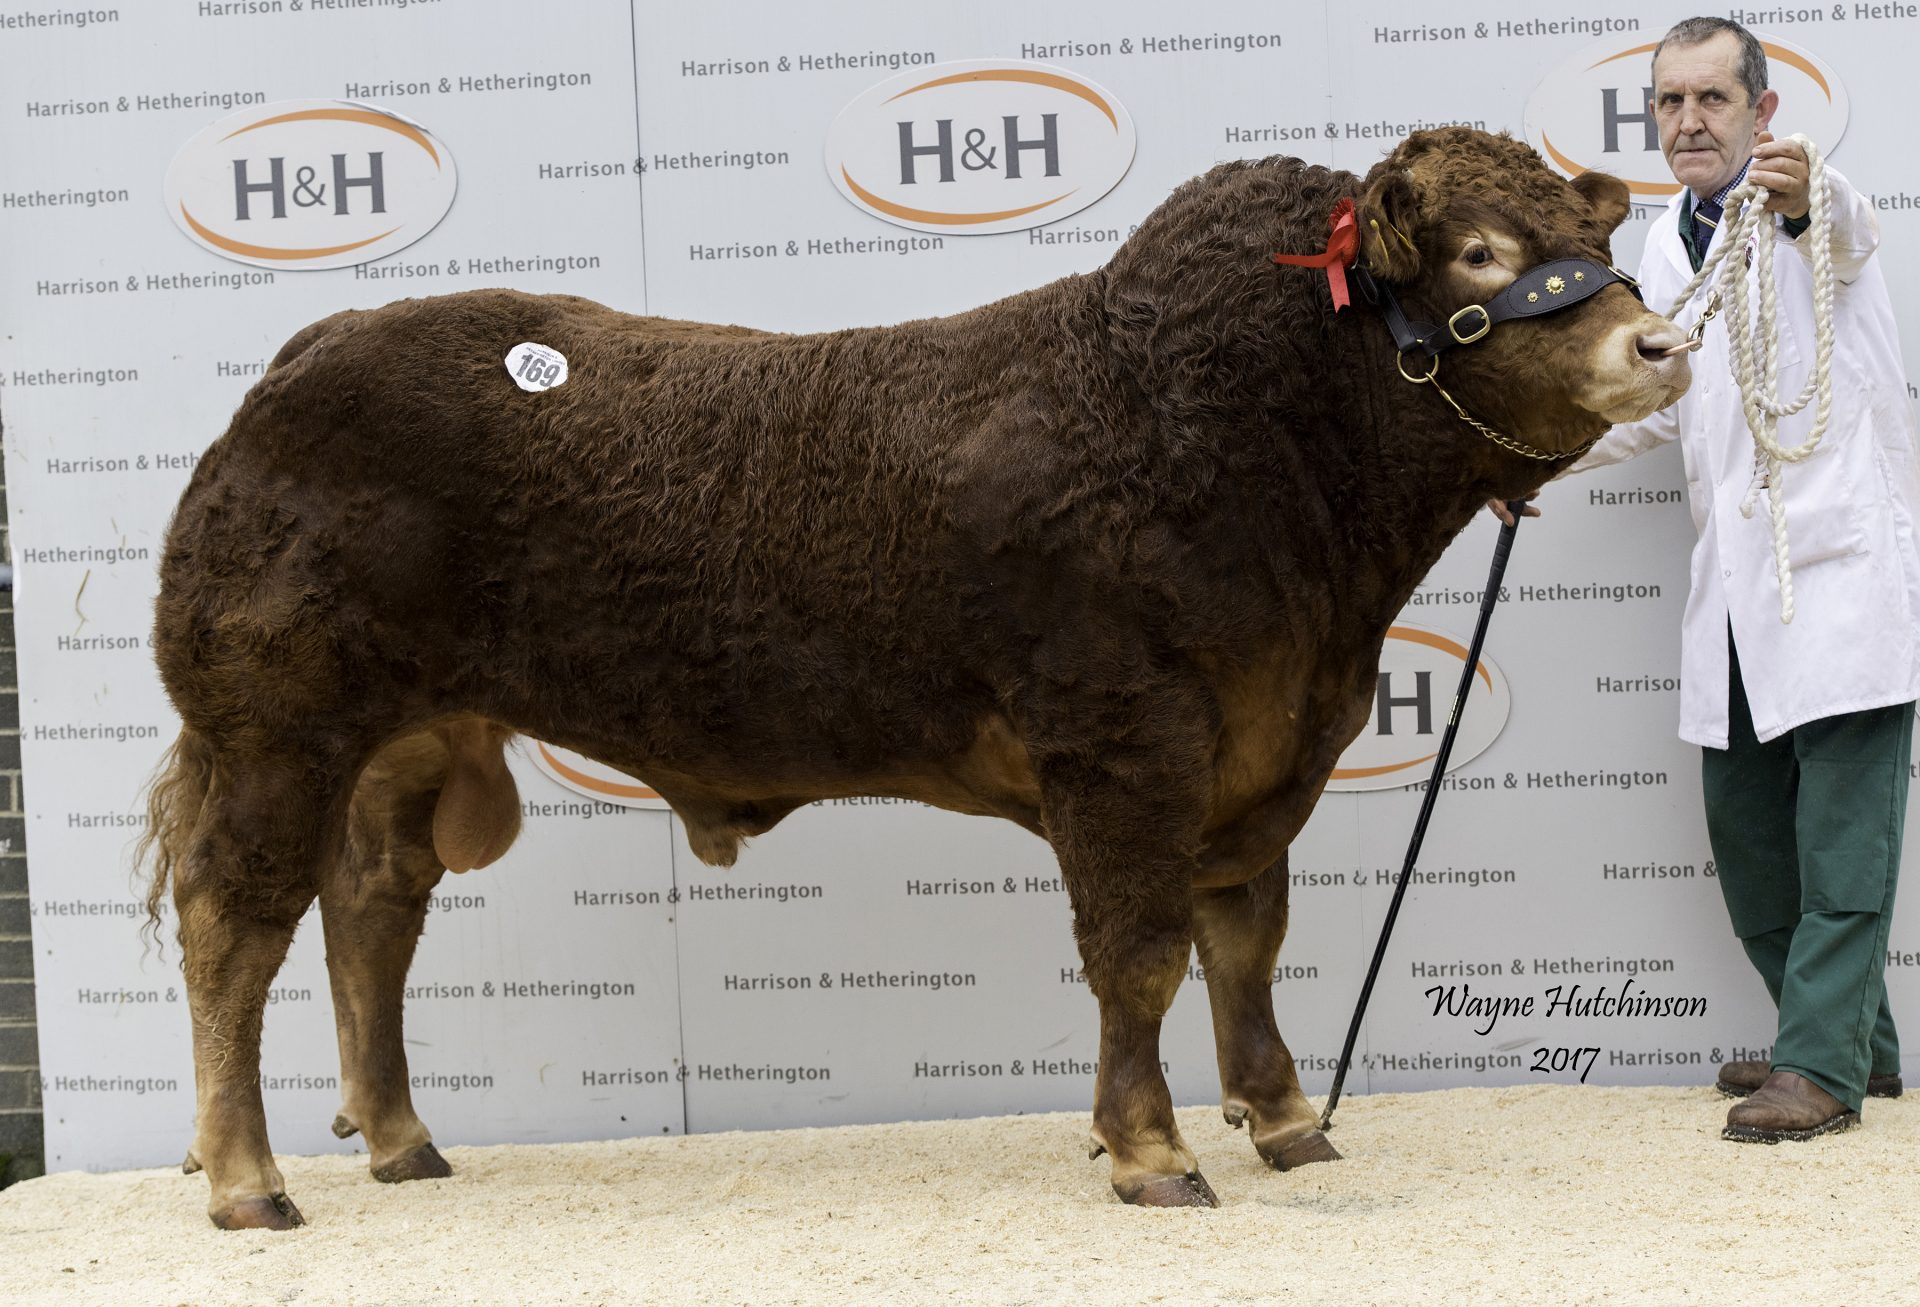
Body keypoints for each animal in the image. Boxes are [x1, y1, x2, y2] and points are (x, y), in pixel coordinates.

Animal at [140, 127, 1689, 1229]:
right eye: (1480, 251)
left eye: (1587, 233)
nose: (1660, 342)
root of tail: (307, 354)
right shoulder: (1123, 743)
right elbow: (1141, 952)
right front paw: (1150, 1147)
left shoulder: (1263, 754)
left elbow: (1246, 942)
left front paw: (1289, 1118)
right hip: (277, 725)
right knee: (236, 920)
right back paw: (246, 1179)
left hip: (401, 741)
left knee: (369, 913)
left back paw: (400, 1139)